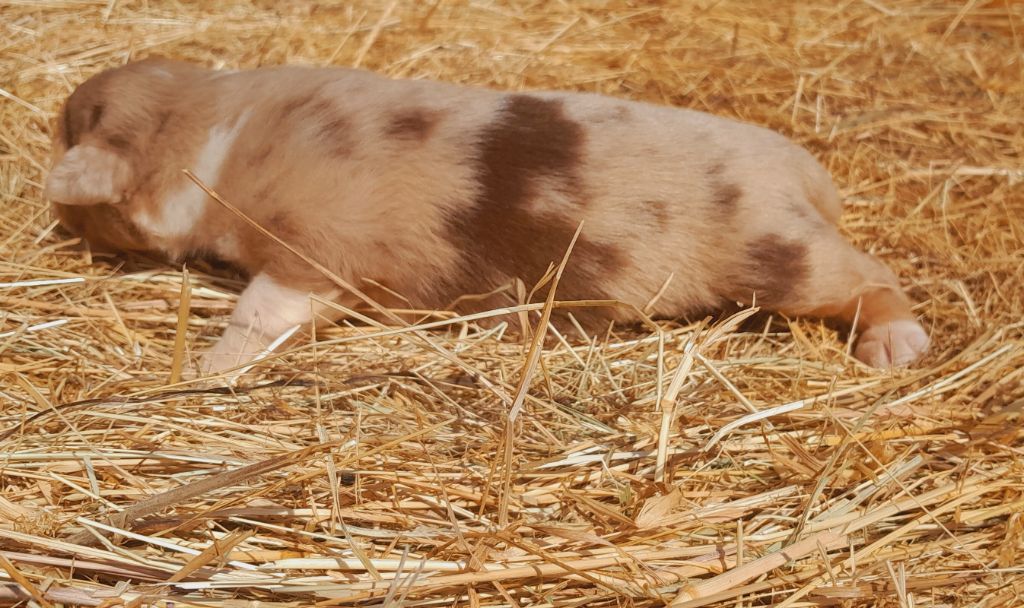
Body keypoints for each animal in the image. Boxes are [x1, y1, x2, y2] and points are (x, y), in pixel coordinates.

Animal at [44, 57, 930, 374]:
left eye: (71, 124)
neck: (214, 133)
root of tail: (806, 171)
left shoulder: (316, 253)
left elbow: (261, 313)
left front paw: (204, 372)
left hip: (784, 253)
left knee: (873, 276)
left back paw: (896, 351)